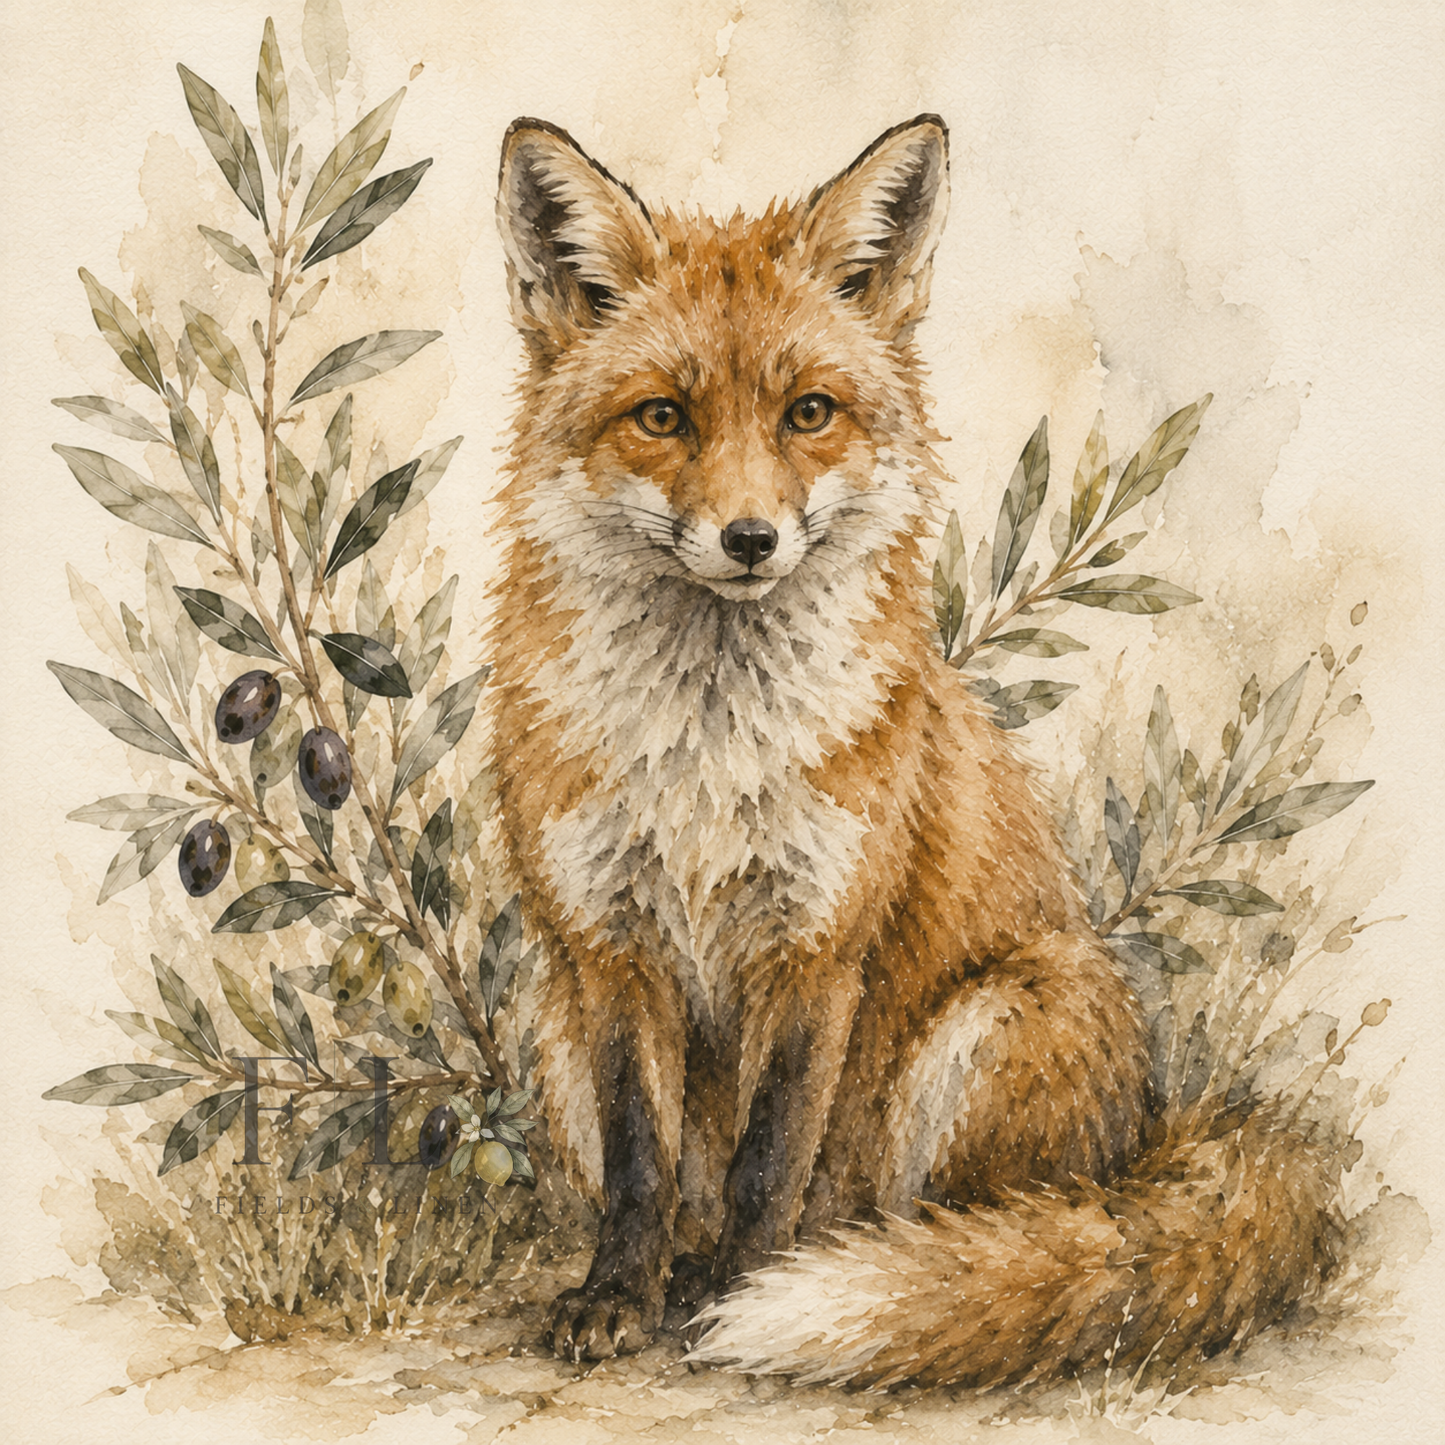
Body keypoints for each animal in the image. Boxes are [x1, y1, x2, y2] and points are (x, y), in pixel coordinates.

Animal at [484, 114, 1339, 1388]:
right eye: (662, 416)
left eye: (808, 412)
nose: (749, 537)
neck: (704, 753)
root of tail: (1147, 1140)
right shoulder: (607, 945)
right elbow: (642, 1161)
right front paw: (617, 1294)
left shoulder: (818, 946)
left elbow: (769, 1157)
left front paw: (742, 1291)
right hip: (551, 1021)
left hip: (999, 1023)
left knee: (987, 1233)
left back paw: (892, 1267)